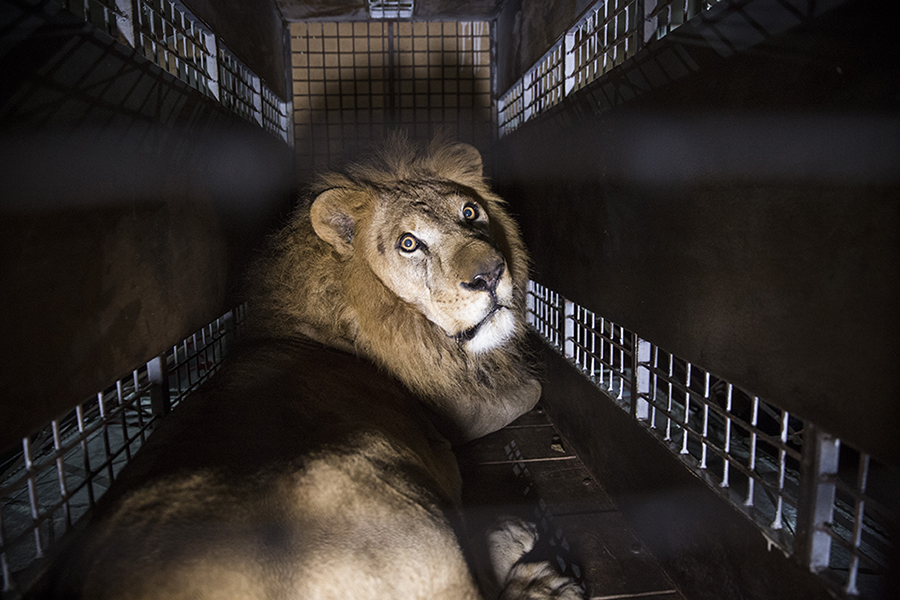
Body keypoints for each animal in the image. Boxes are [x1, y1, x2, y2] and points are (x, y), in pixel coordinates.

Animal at [34, 137, 582, 600]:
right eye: (409, 243)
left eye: (470, 212)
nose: (489, 274)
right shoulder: (449, 418)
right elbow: (528, 391)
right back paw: (532, 563)